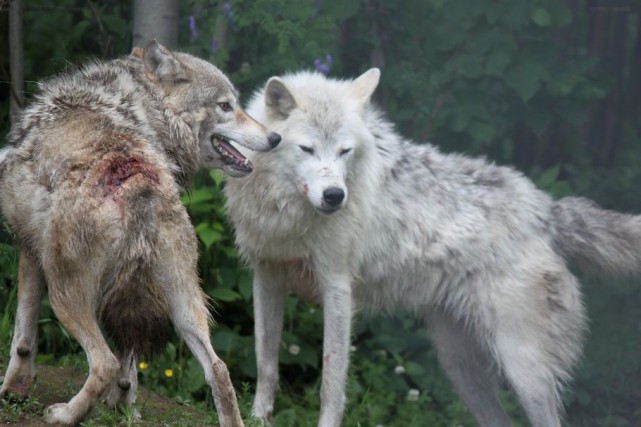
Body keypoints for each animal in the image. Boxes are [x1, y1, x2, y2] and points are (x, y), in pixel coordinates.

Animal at [0, 41, 280, 427]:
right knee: (219, 370)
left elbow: (23, 337)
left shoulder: (28, 251)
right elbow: (130, 364)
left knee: (103, 362)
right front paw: (123, 404)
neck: (142, 107)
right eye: (226, 106)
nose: (276, 137)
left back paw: (65, 414)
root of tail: (137, 180)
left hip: (65, 295)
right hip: (182, 302)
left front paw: (14, 388)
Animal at [226, 67, 641, 427]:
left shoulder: (338, 289)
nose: (334, 196)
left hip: (524, 372)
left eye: (345, 151)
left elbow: (331, 383)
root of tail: (545, 209)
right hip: (461, 368)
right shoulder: (265, 279)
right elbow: (265, 362)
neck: (288, 214)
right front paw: (257, 418)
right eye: (307, 149)